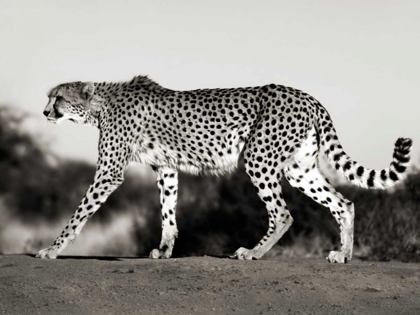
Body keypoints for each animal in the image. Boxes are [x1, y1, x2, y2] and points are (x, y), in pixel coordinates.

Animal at [37, 75, 412, 262]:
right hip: (299, 169)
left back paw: (253, 252)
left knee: (283, 213)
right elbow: (168, 212)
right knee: (343, 203)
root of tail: (306, 96)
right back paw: (343, 255)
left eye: (58, 98)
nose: (44, 112)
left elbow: (79, 214)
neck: (100, 104)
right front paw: (165, 250)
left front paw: (52, 249)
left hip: (258, 158)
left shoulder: (110, 171)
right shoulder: (166, 167)